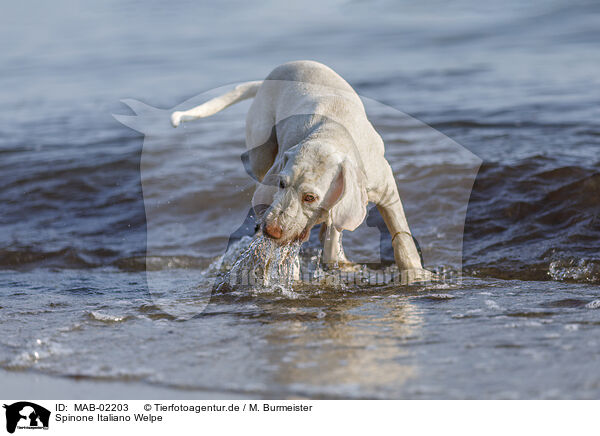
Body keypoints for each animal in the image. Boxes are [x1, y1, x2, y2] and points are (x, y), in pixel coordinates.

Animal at [171, 60, 428, 280]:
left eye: (310, 197)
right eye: (282, 184)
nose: (270, 230)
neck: (331, 133)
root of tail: (268, 77)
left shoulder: (386, 189)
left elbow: (401, 236)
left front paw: (415, 274)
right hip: (261, 145)